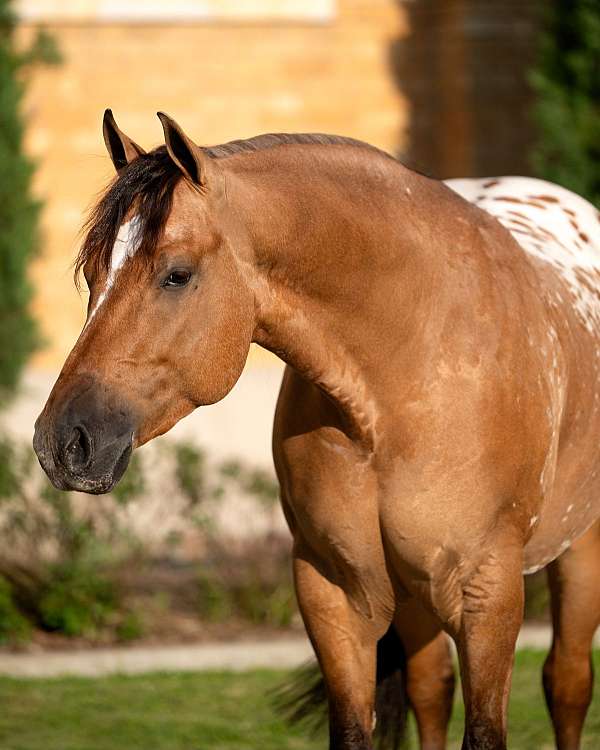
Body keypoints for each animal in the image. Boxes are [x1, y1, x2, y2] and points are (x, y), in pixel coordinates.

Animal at [33, 110, 600, 750]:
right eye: (92, 273)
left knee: (567, 682)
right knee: (432, 688)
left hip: (578, 550)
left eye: (176, 275)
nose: (63, 442)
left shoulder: (488, 597)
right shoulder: (333, 596)